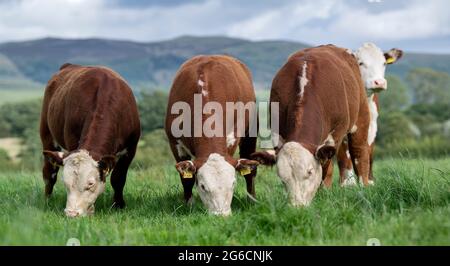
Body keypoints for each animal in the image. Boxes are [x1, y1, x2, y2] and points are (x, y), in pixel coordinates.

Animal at [40, 63, 141, 217]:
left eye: (90, 184)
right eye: (66, 183)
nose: (72, 213)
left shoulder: (131, 148)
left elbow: (118, 178)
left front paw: (119, 205)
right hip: (46, 134)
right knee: (49, 172)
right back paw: (47, 200)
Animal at [164, 54, 260, 216]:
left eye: (233, 183)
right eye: (203, 186)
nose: (221, 215)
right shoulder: (175, 144)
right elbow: (186, 180)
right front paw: (189, 205)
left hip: (250, 134)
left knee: (250, 172)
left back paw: (251, 200)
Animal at [253, 44, 372, 207]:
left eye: (309, 172)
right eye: (282, 177)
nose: (297, 207)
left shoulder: (335, 134)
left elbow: (326, 168)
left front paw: (323, 193)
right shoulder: (278, 133)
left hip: (361, 117)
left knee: (359, 152)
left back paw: (363, 185)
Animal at [324, 42, 404, 187]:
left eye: (384, 63)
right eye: (360, 63)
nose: (379, 82)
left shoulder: (372, 125)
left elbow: (368, 149)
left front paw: (370, 181)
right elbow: (344, 154)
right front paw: (348, 183)